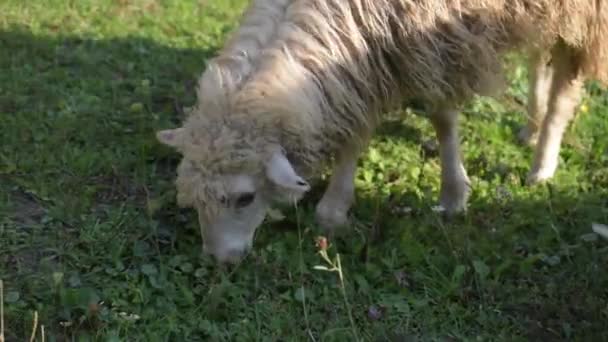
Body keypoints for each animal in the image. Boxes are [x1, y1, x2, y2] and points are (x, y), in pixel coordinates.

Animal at [156, 0, 608, 264]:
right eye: (192, 199)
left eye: (245, 198)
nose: (220, 262)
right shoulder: (372, 58)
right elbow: (356, 129)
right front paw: (336, 207)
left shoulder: (435, 45)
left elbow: (442, 118)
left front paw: (453, 195)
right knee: (538, 58)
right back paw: (530, 128)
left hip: (585, 16)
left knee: (564, 89)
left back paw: (542, 164)